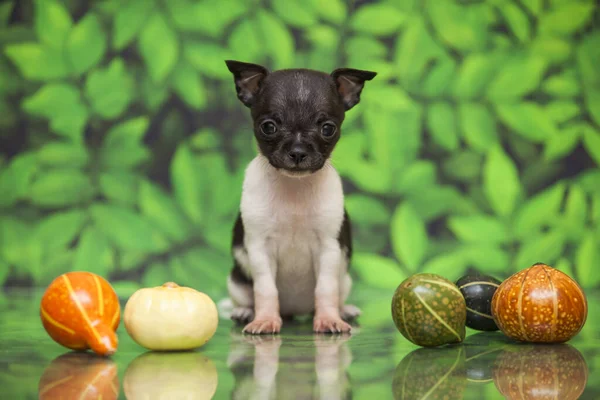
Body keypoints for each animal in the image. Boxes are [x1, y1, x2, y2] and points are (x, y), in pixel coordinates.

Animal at [225, 59, 376, 334]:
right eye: (268, 127)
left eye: (328, 129)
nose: (297, 151)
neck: (294, 189)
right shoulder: (260, 249)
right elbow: (265, 289)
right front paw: (265, 319)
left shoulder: (329, 249)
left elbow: (326, 288)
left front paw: (328, 319)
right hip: (236, 280)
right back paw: (245, 311)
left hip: (345, 279)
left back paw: (343, 310)